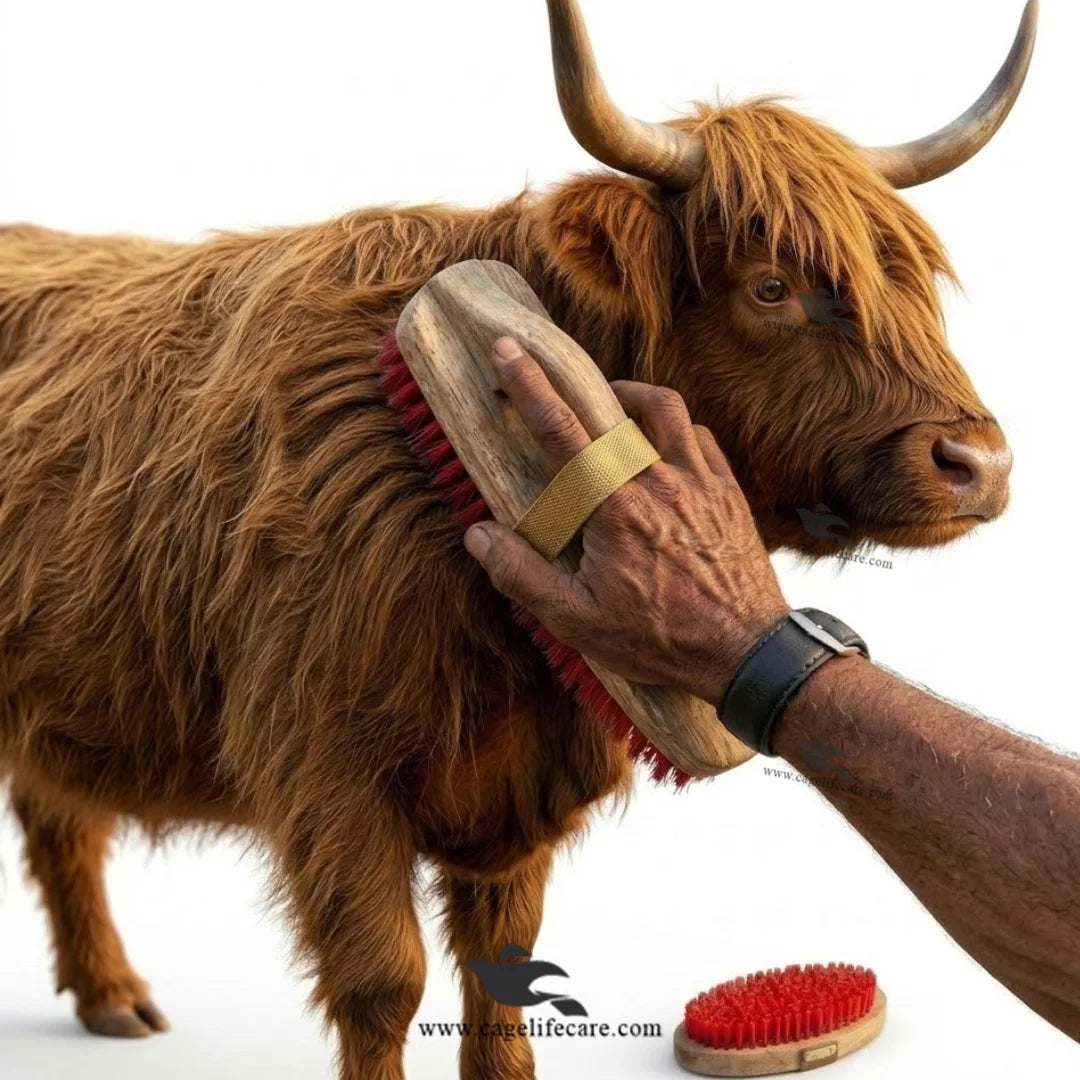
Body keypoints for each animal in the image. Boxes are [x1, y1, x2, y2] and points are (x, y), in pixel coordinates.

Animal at [0, 1, 1035, 1078]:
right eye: (770, 286)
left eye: (915, 279)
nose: (978, 462)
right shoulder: (326, 761)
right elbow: (382, 978)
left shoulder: (520, 775)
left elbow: (501, 965)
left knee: (53, 809)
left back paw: (109, 996)